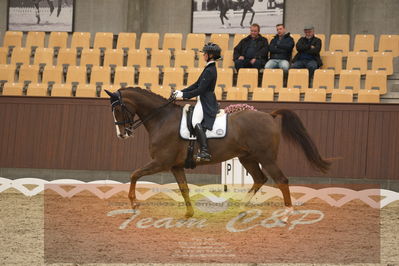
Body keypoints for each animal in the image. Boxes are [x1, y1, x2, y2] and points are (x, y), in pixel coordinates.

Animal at [104, 88, 332, 219]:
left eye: (118, 109)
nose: (122, 134)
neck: (162, 119)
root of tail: (269, 115)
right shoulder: (175, 166)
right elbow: (184, 188)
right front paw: (189, 213)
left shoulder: (161, 162)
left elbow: (134, 174)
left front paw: (134, 203)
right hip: (247, 158)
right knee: (260, 179)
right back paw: (241, 208)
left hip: (266, 158)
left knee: (282, 180)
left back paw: (287, 213)